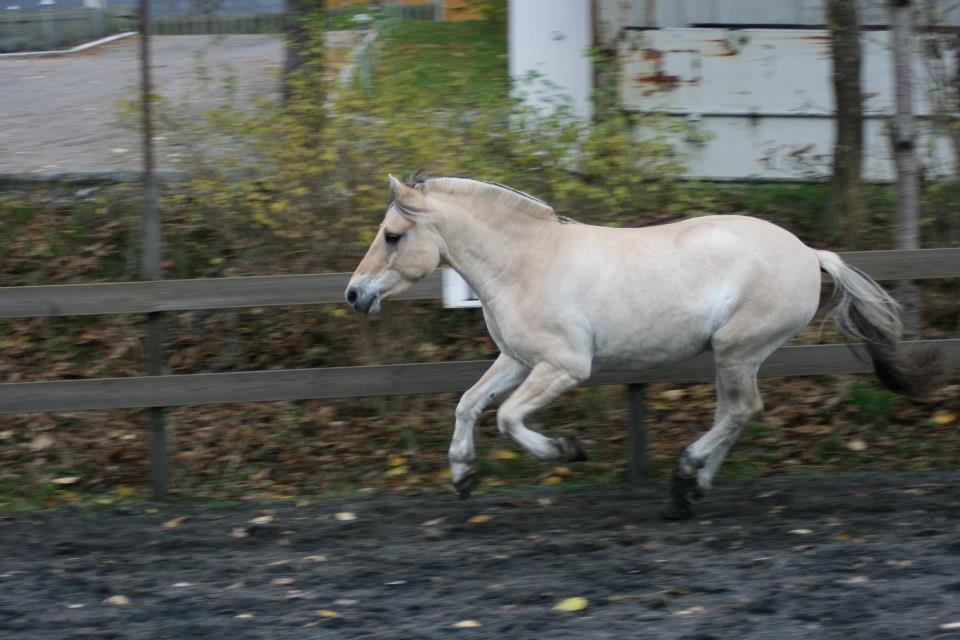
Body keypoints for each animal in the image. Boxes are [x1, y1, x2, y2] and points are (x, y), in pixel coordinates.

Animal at [346, 176, 936, 520]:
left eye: (393, 235)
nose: (354, 294)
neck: (525, 262)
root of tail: (810, 253)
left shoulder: (564, 366)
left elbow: (508, 418)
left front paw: (568, 451)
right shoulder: (517, 360)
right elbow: (468, 404)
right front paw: (464, 478)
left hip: (738, 349)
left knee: (741, 410)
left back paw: (684, 478)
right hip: (730, 355)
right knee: (733, 413)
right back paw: (691, 490)